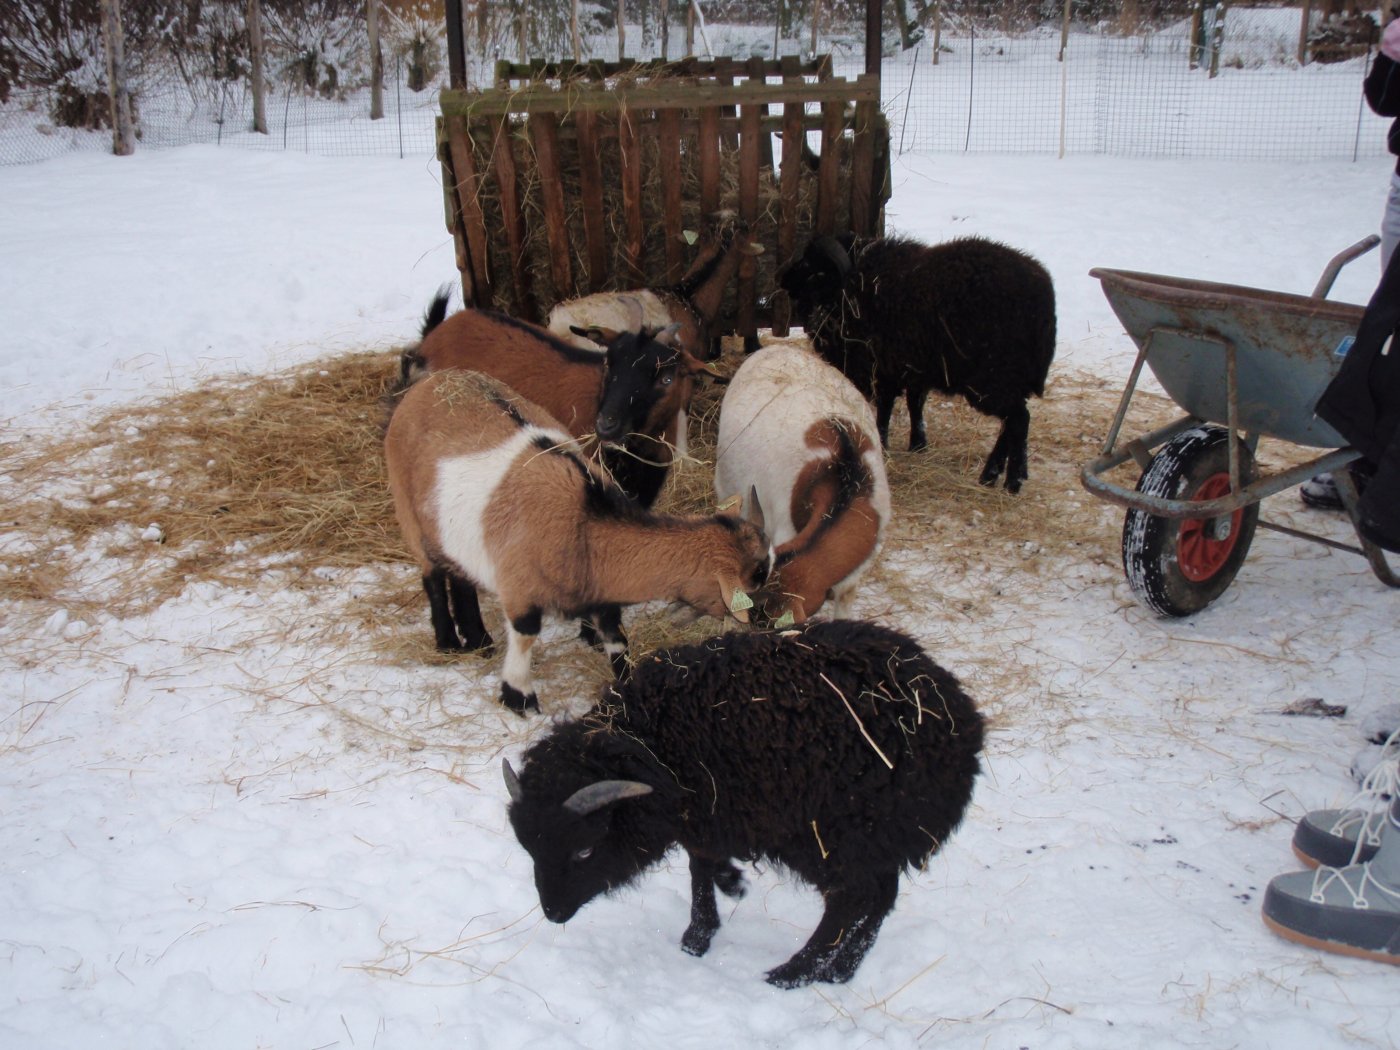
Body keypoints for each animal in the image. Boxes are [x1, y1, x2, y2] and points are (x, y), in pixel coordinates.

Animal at [504, 621, 985, 991]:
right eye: (529, 850)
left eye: (585, 849)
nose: (553, 914)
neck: (653, 742)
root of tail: (963, 729)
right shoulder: (709, 810)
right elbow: (701, 862)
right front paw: (715, 907)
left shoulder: (721, 806)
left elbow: (700, 862)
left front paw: (712, 913)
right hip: (880, 835)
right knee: (883, 895)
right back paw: (842, 970)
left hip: (836, 832)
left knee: (851, 900)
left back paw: (793, 973)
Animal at [784, 233, 1052, 492]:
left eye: (809, 265)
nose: (782, 277)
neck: (851, 288)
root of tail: (1045, 301)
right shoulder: (913, 369)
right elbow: (915, 404)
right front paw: (918, 445)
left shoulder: (883, 369)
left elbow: (885, 410)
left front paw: (884, 445)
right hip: (1010, 381)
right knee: (1012, 422)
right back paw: (991, 476)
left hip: (993, 379)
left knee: (1019, 419)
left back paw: (1012, 481)